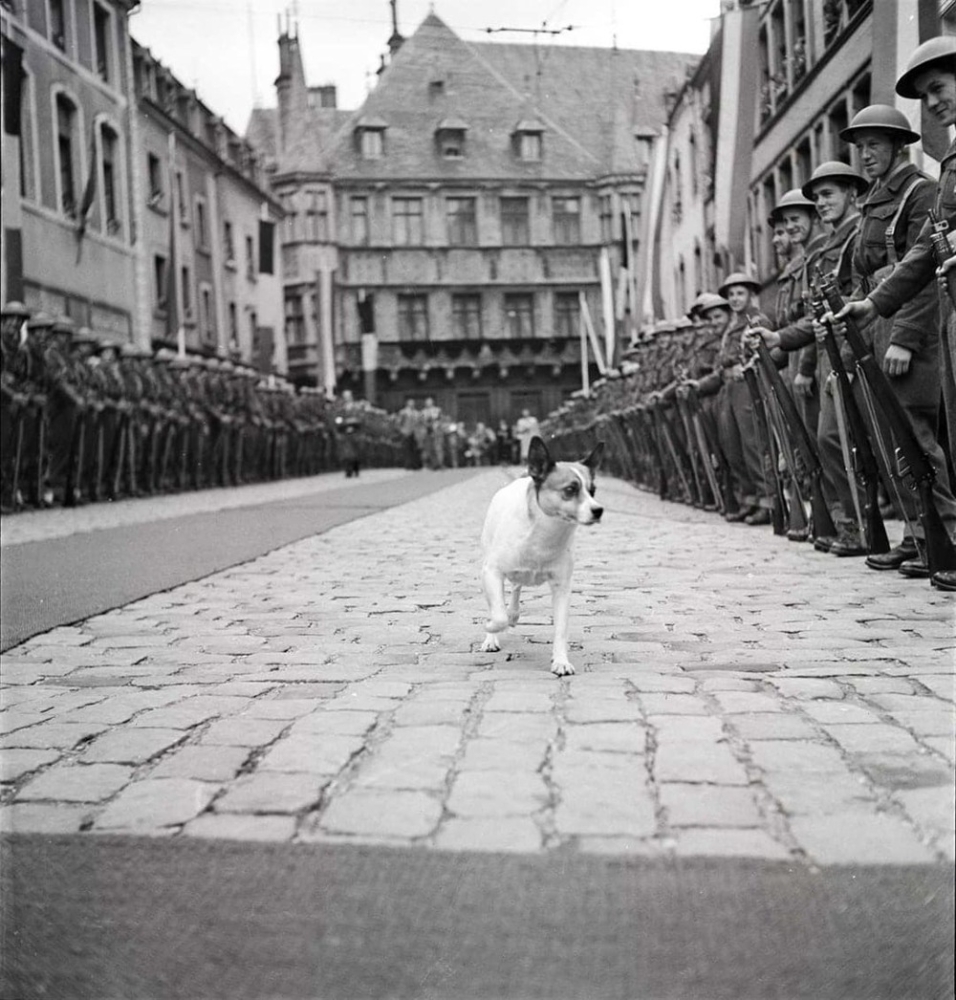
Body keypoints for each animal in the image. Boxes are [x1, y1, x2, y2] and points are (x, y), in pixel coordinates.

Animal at [478, 436, 604, 676]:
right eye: (571, 489)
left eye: (593, 491)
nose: (598, 510)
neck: (546, 534)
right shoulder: (492, 572)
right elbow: (497, 615)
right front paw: (491, 627)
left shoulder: (562, 587)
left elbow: (561, 629)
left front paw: (561, 661)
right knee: (498, 601)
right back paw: (492, 638)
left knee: (516, 588)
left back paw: (514, 613)